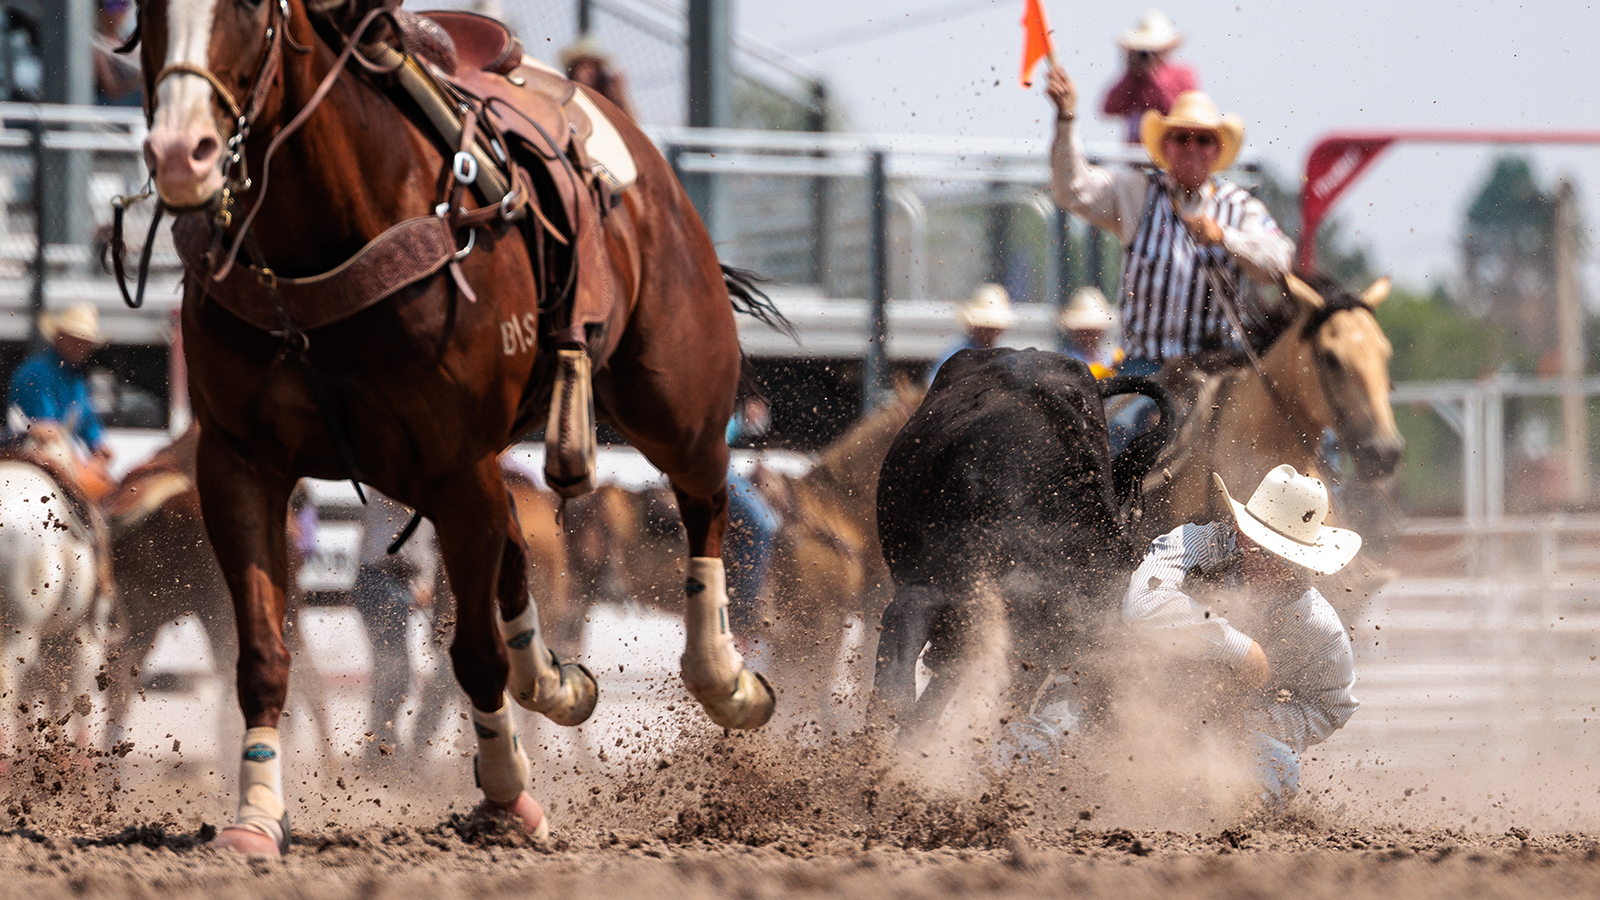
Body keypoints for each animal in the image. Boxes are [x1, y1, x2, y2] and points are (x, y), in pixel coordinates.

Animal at [134, 0, 771, 851]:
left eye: (248, 11)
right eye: (146, 13)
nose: (180, 152)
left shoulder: (454, 464)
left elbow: (474, 655)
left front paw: (507, 797)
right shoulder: (239, 462)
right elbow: (265, 653)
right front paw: (256, 815)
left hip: (675, 402)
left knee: (705, 502)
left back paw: (726, 680)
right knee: (516, 556)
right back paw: (557, 681)